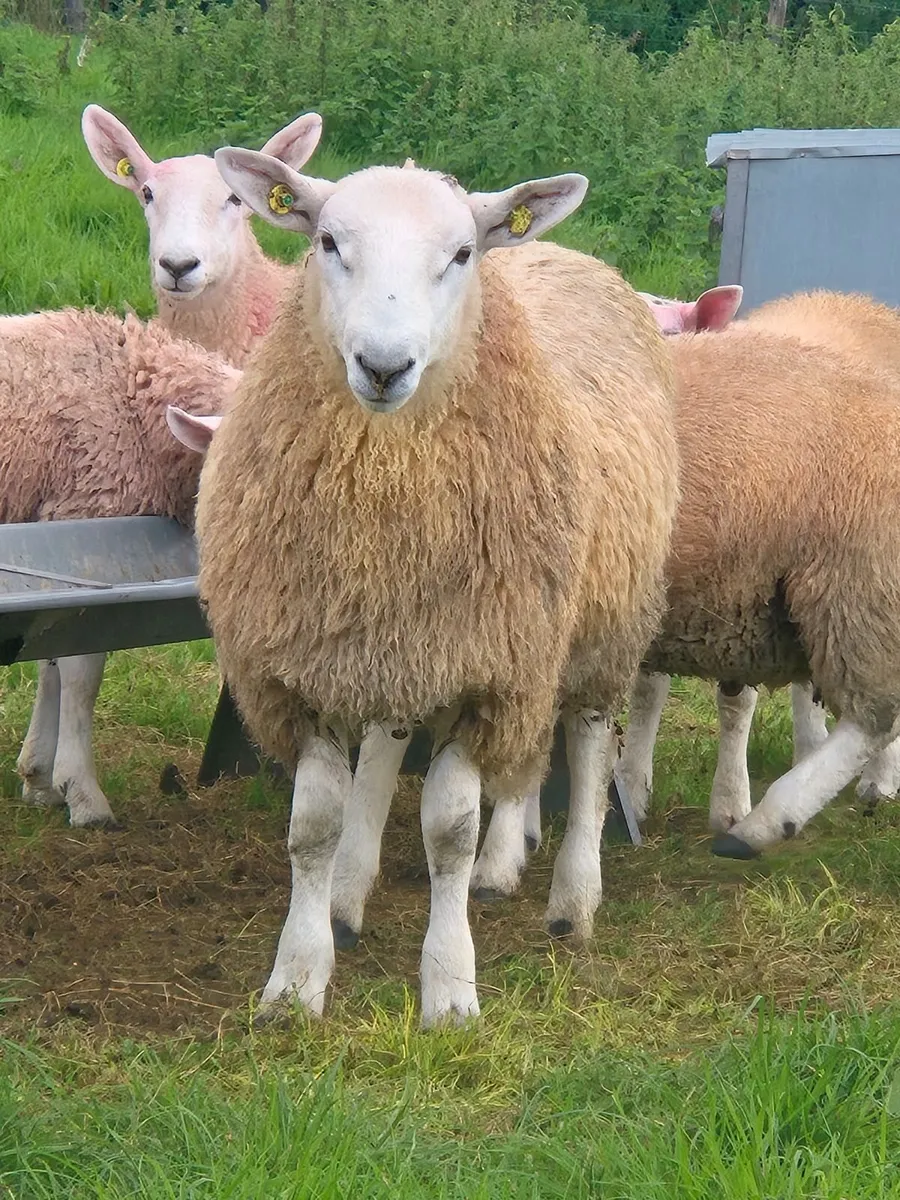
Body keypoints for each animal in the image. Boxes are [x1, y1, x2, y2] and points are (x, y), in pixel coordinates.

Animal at [195, 150, 679, 1023]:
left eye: (460, 254)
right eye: (326, 241)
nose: (385, 366)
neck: (388, 488)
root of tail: (565, 255)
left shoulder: (491, 671)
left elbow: (449, 831)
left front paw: (450, 987)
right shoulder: (303, 670)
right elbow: (312, 828)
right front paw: (297, 978)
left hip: (597, 625)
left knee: (587, 743)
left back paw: (570, 898)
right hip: (422, 643)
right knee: (396, 746)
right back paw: (359, 892)